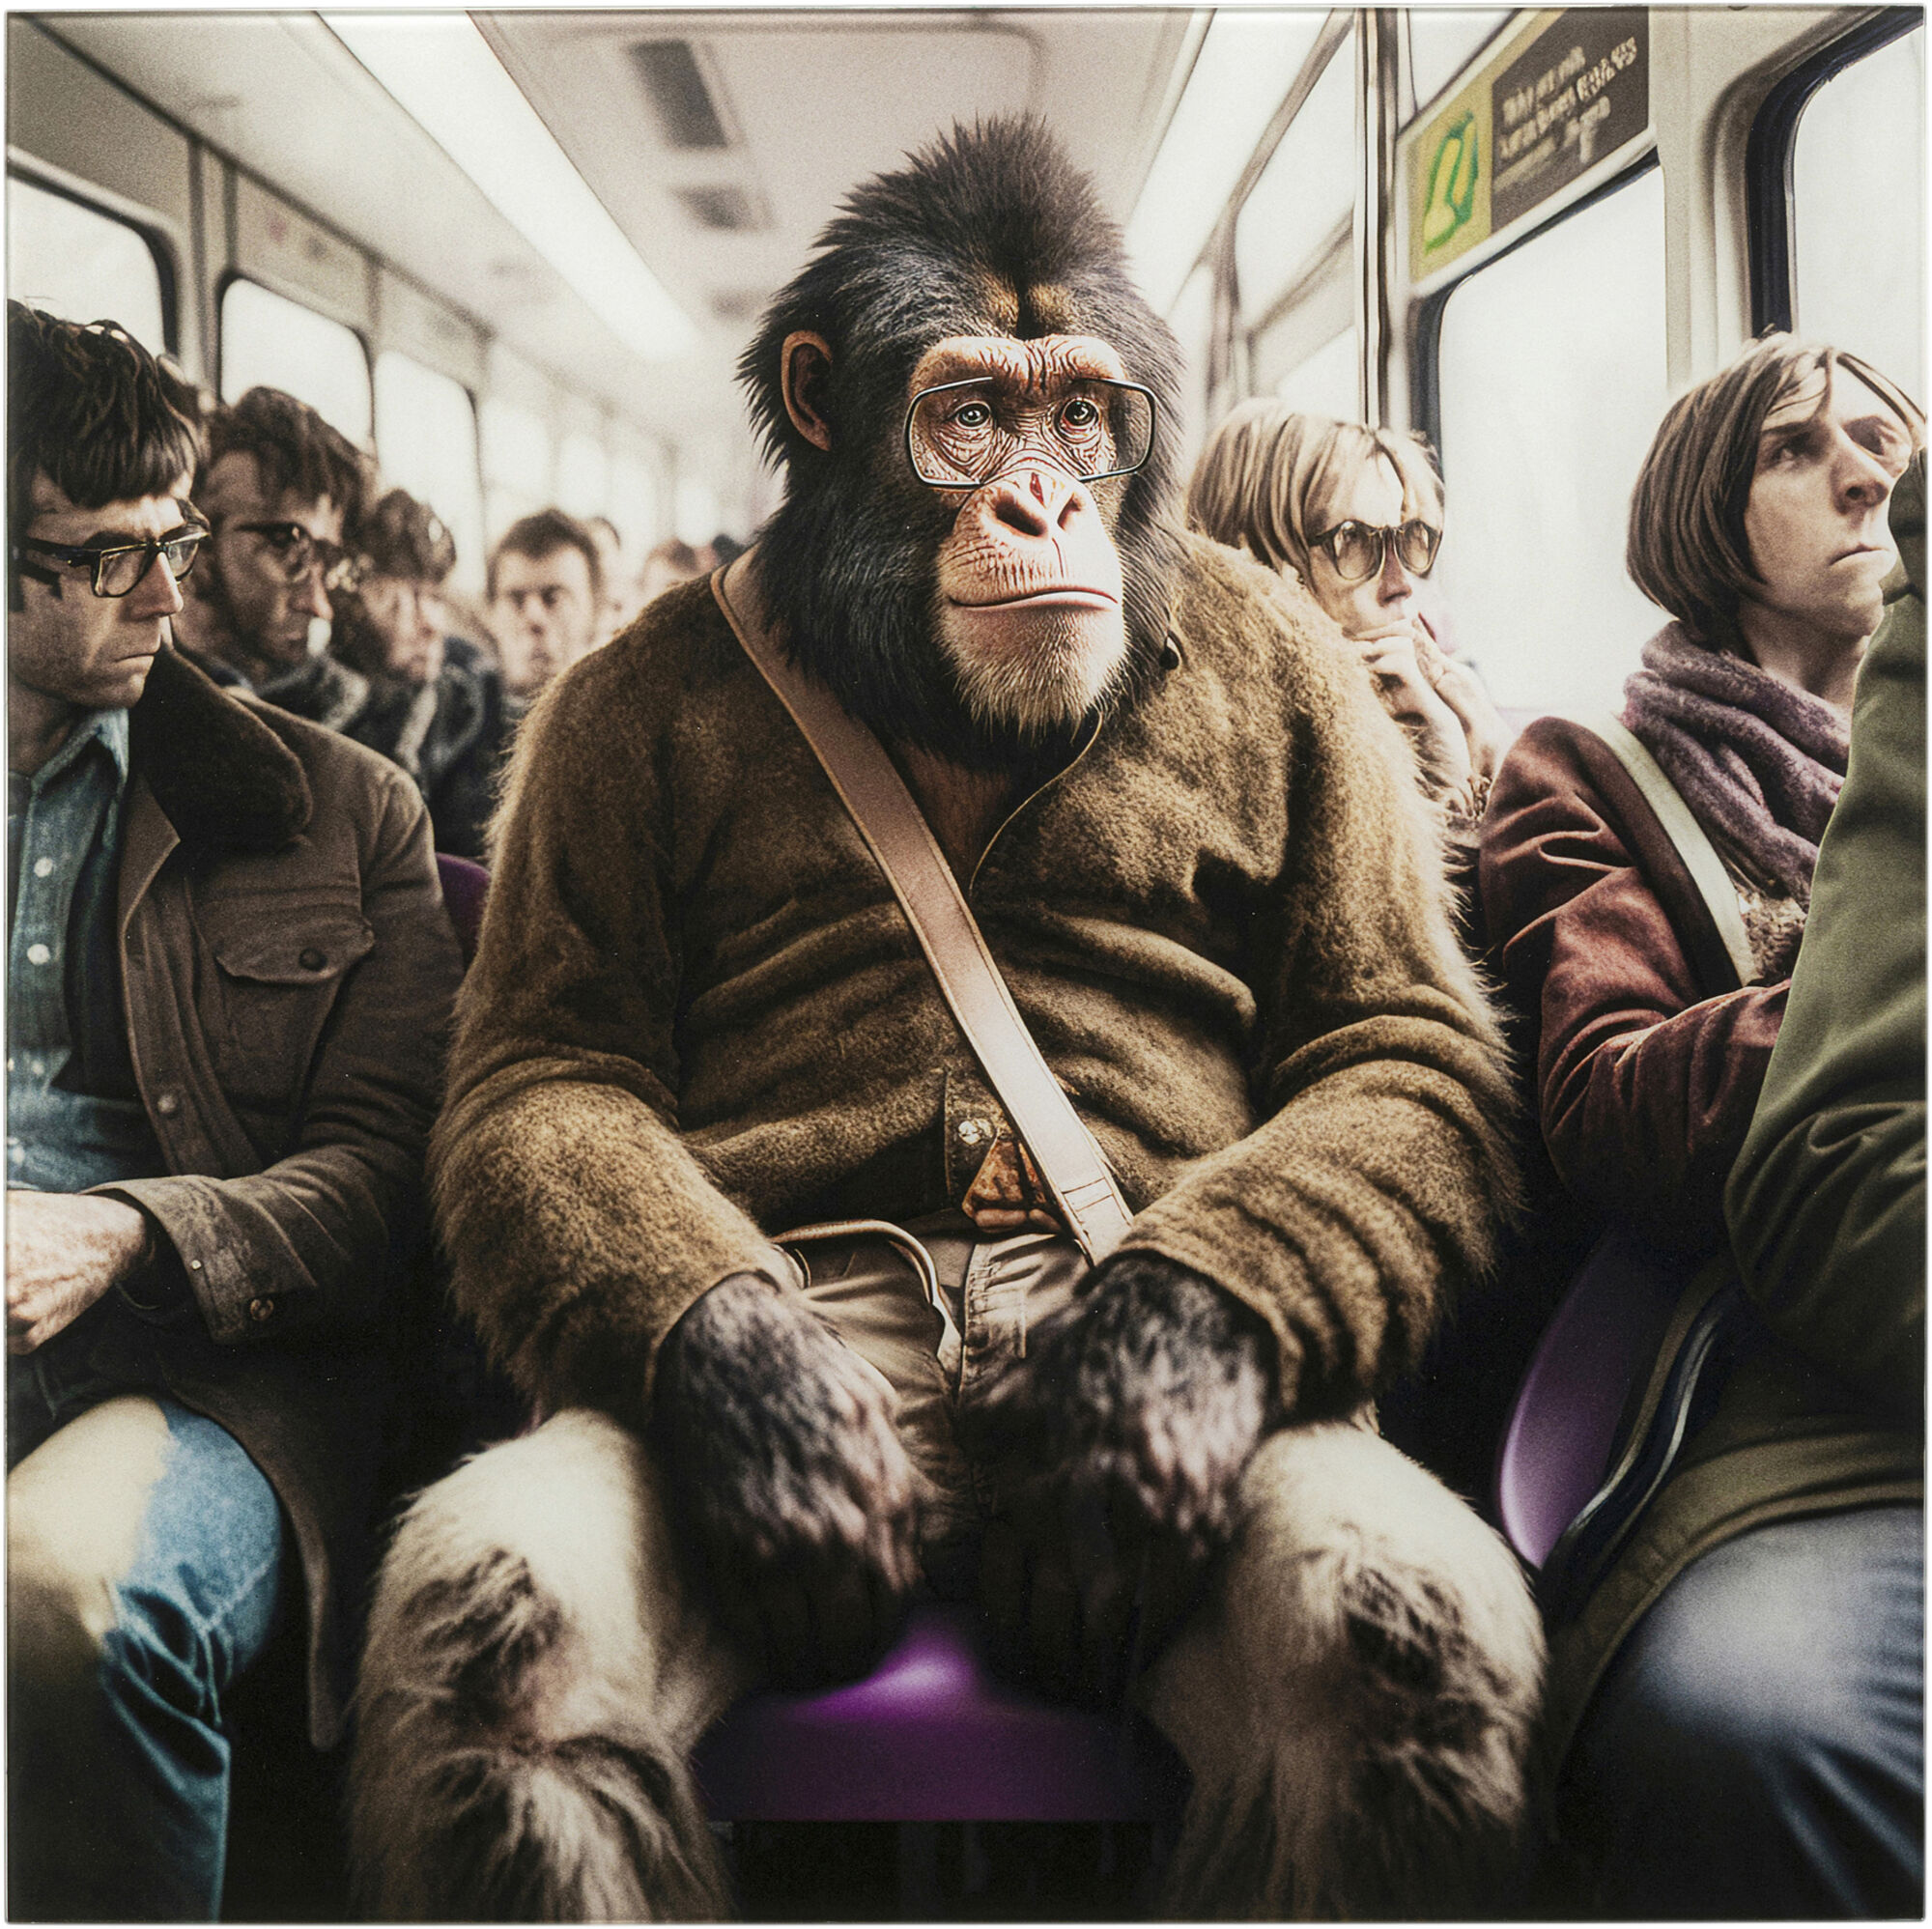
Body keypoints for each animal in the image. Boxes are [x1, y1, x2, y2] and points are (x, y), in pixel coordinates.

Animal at [351, 118, 1543, 1920]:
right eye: (968, 411)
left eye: (1082, 414)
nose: (1039, 495)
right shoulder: (596, 721)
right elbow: (556, 1067)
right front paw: (778, 1427)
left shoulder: (1325, 696)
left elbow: (1387, 1033)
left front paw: (1136, 1411)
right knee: (507, 1654)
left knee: (1384, 1650)